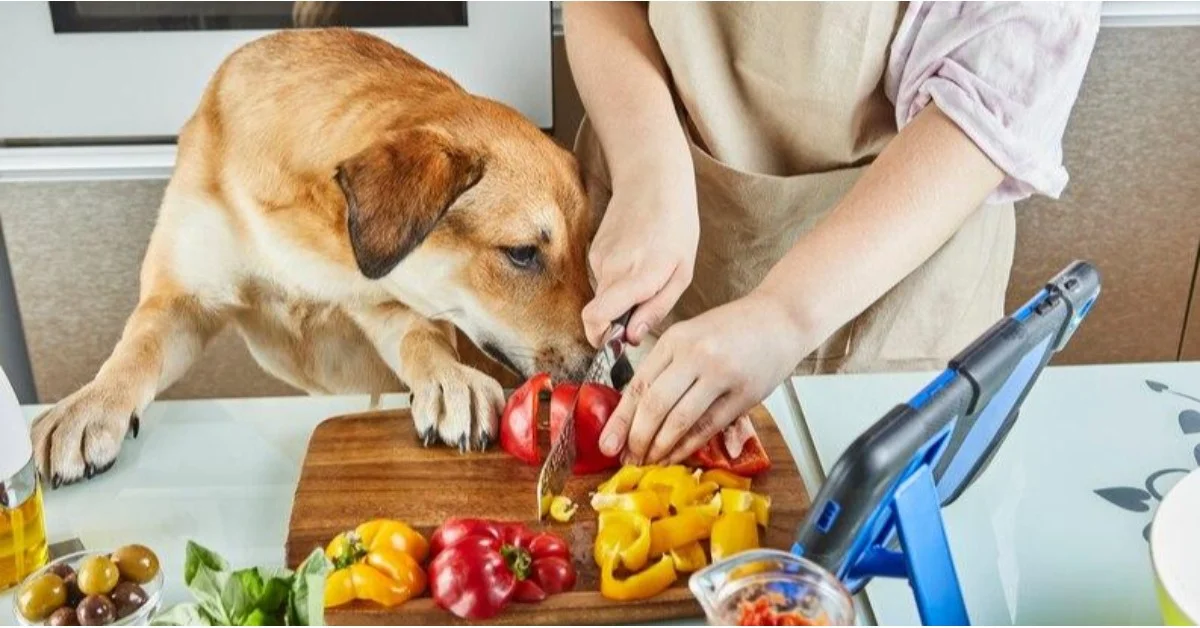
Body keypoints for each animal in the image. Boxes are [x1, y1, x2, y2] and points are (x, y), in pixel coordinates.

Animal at [34, 29, 600, 489]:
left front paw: (448, 379)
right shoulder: (181, 300)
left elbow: (422, 339)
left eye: (587, 249)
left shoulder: (388, 305)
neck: (315, 239)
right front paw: (90, 406)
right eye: (522, 254)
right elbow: (137, 348)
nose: (610, 370)